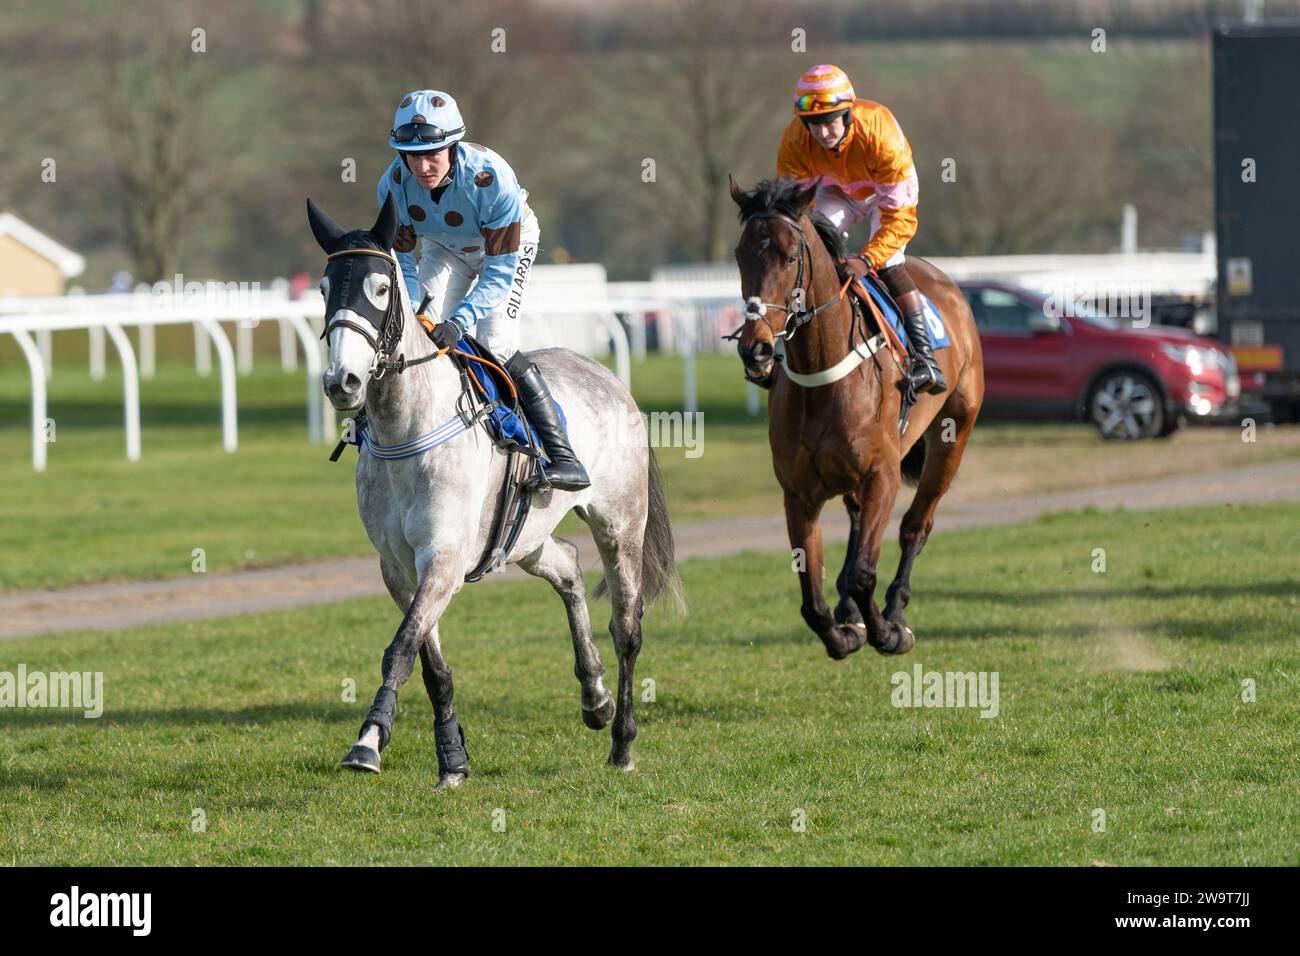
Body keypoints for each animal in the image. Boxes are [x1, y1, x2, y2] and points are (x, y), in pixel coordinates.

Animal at [308, 196, 686, 785]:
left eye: (380, 287)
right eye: (325, 289)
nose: (341, 381)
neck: (407, 430)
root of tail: (607, 376)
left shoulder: (443, 558)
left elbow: (400, 649)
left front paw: (368, 741)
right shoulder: (399, 567)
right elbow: (430, 664)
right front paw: (452, 760)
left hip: (621, 523)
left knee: (627, 626)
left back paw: (622, 743)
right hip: (525, 538)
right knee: (568, 566)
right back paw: (595, 697)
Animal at [733, 175, 982, 660]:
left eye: (791, 257)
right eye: (739, 255)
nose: (756, 349)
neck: (822, 376)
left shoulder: (882, 474)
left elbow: (865, 572)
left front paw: (888, 633)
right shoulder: (798, 493)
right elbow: (812, 599)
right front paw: (845, 633)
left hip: (954, 434)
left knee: (916, 527)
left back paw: (896, 608)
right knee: (854, 522)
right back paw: (851, 611)